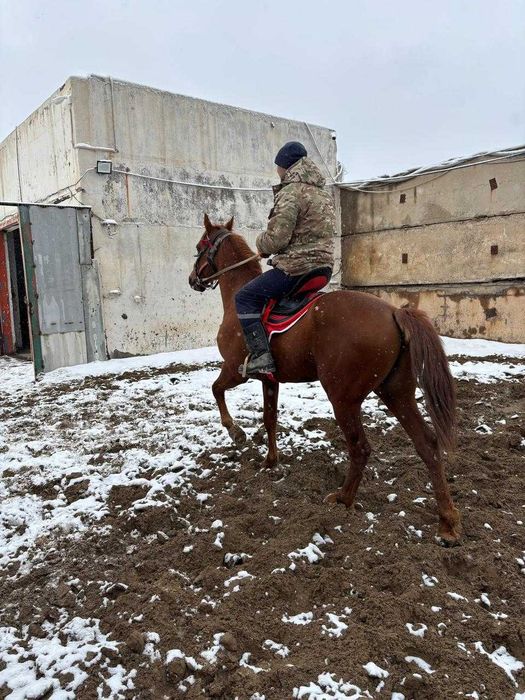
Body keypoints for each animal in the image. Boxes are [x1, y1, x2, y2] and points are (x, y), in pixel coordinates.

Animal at [188, 215, 461, 545]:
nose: (192, 280)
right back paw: (447, 523)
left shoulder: (233, 370)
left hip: (344, 399)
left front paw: (236, 432)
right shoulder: (270, 380)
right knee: (427, 445)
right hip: (397, 393)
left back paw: (343, 499)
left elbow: (216, 390)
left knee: (360, 448)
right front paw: (270, 461)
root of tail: (395, 311)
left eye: (200, 247)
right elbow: (269, 418)